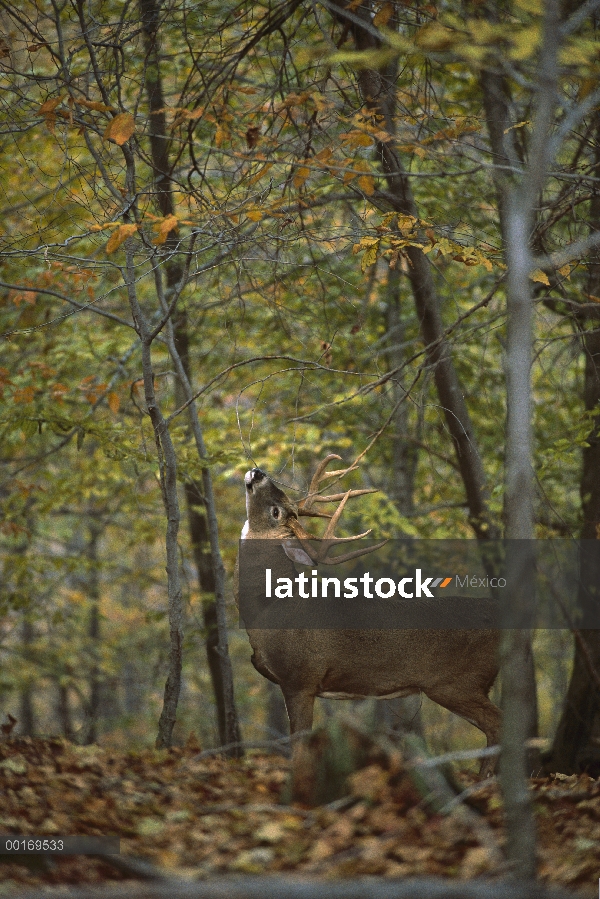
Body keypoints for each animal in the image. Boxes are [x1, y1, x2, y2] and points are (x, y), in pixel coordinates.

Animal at [234, 458, 502, 780]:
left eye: (276, 512)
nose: (258, 472)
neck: (269, 608)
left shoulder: (300, 677)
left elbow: (299, 744)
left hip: (458, 681)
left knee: (498, 725)